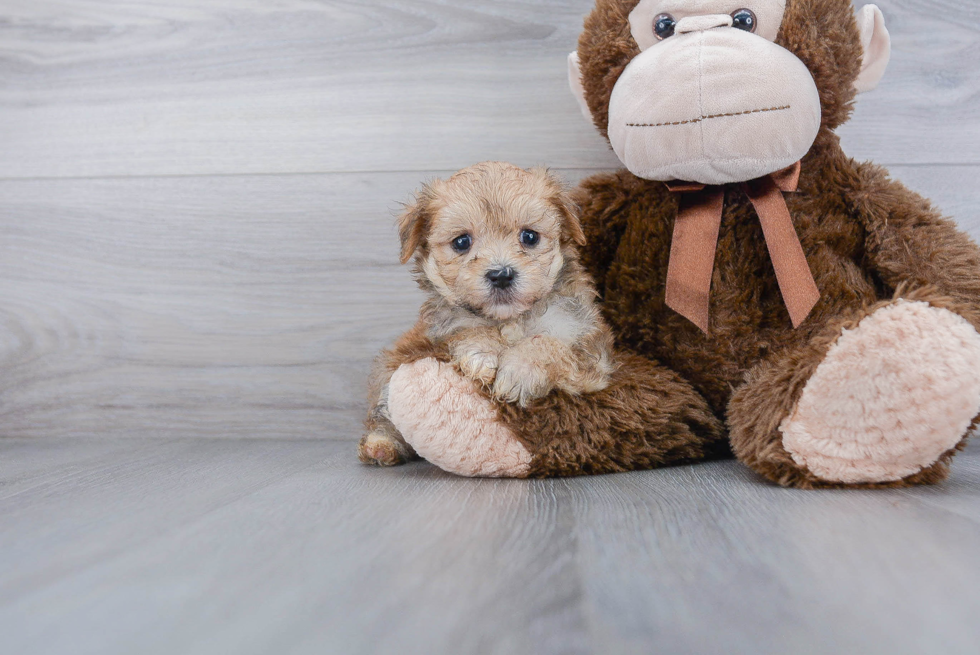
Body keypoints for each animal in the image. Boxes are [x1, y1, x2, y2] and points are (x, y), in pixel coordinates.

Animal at [360, 161, 616, 466]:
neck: (510, 319)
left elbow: (548, 344)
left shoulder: (590, 353)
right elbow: (468, 329)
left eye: (529, 237)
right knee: (384, 415)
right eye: (461, 242)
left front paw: (519, 370)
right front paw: (481, 353)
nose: (501, 275)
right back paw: (380, 445)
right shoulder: (443, 330)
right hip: (390, 370)